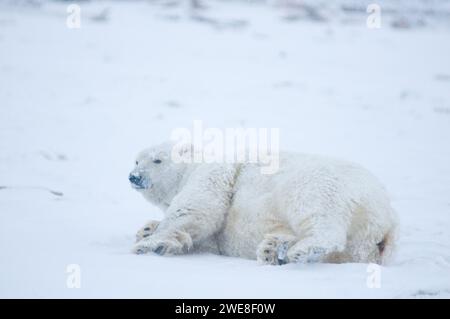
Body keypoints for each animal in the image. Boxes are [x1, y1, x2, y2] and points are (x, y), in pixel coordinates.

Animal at [129, 142, 398, 264]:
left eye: (157, 160)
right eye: (136, 160)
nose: (134, 176)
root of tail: (386, 220)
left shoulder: (216, 172)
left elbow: (198, 207)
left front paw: (148, 244)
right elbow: (207, 239)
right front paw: (146, 230)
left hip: (321, 184)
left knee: (319, 217)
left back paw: (297, 250)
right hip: (363, 246)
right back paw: (273, 249)